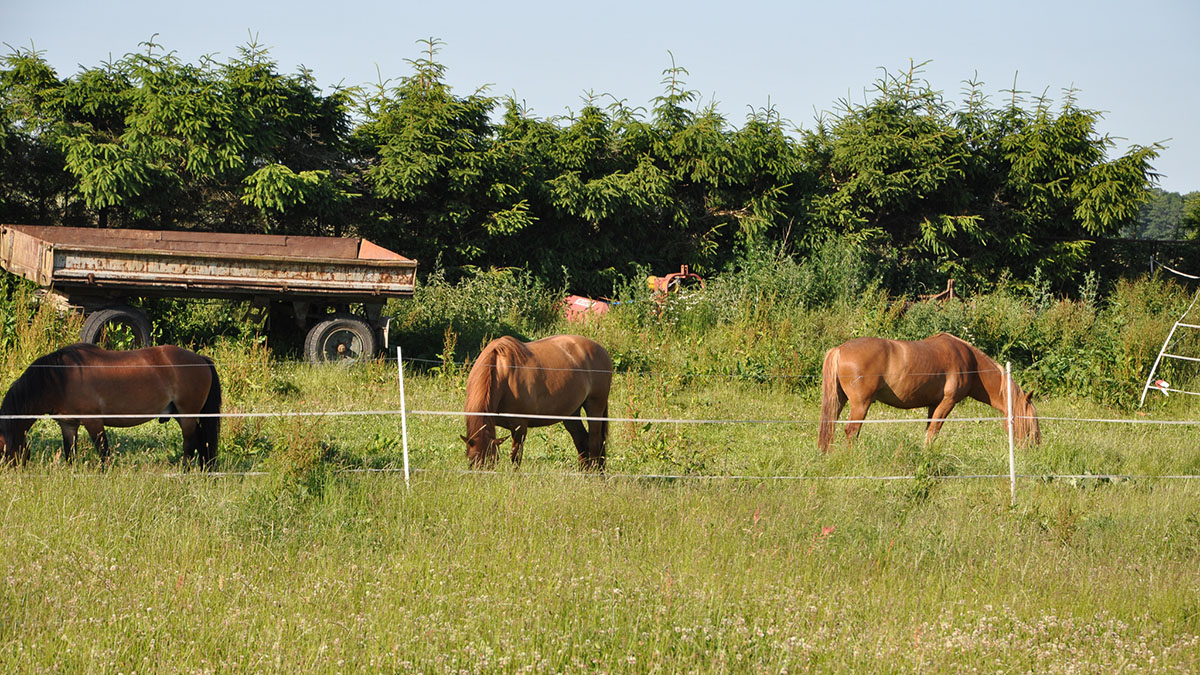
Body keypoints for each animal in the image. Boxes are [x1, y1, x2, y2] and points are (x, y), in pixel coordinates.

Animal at [0, 341, 223, 468]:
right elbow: (70, 454)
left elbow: (103, 453)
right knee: (201, 443)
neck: (60, 378)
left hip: (187, 416)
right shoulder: (68, 425)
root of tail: (200, 359)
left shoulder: (94, 422)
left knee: (190, 446)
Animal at [458, 331, 609, 468]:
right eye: (471, 462)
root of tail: (601, 350)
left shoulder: (520, 426)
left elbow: (515, 457)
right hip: (571, 413)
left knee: (595, 442)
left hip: (595, 406)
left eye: (492, 462)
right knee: (581, 440)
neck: (502, 372)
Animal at [816, 331, 1041, 449]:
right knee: (851, 431)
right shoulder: (947, 403)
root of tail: (839, 349)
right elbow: (934, 431)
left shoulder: (933, 405)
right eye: (1029, 421)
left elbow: (928, 431)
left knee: (831, 426)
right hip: (860, 405)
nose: (1034, 447)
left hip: (839, 401)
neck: (971, 362)